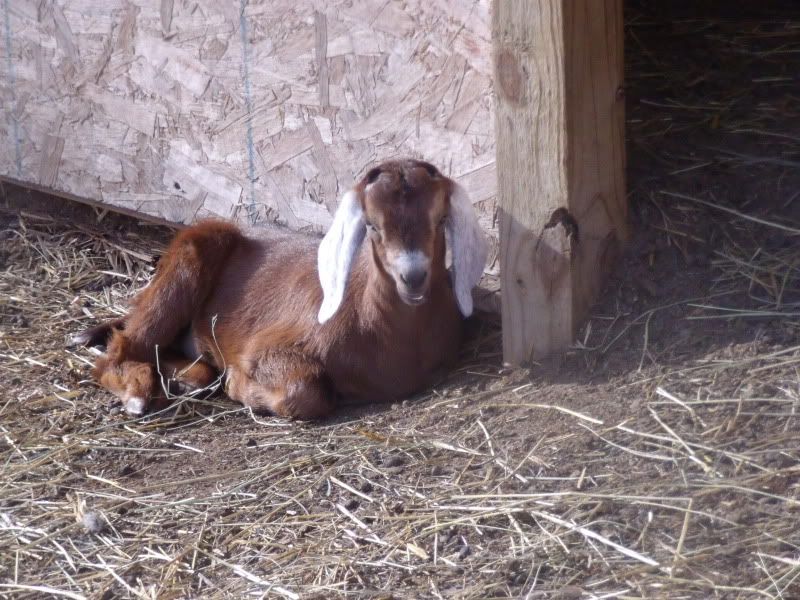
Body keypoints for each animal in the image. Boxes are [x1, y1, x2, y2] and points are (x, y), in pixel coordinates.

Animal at [76, 159, 488, 419]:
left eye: (440, 220)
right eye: (372, 225)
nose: (413, 276)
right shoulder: (270, 347)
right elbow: (305, 391)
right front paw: (241, 386)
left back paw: (188, 380)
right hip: (190, 256)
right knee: (121, 352)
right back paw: (139, 394)